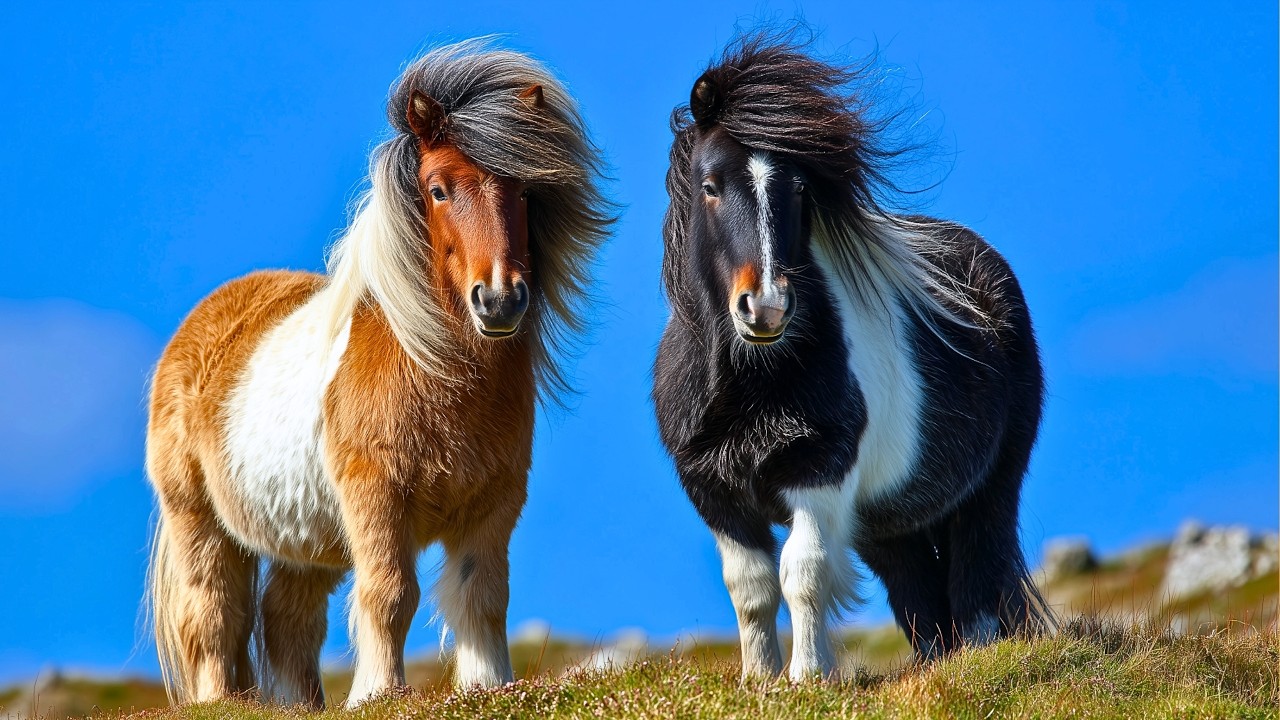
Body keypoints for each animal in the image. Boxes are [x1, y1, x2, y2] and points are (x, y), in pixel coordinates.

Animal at [145, 39, 612, 709]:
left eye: (525, 192)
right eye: (438, 189)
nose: (499, 300)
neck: (435, 372)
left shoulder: (494, 503)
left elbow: (483, 595)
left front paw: (489, 686)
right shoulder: (378, 500)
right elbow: (391, 594)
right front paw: (379, 694)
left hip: (304, 546)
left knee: (285, 621)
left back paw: (300, 706)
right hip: (200, 524)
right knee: (213, 616)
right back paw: (221, 702)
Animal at [652, 33, 1054, 682]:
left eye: (798, 188)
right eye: (709, 186)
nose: (766, 307)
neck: (749, 379)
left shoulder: (818, 471)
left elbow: (804, 573)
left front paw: (808, 678)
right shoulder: (713, 493)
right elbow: (751, 587)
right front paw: (758, 681)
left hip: (990, 489)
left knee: (975, 582)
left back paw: (972, 665)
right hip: (890, 523)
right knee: (921, 600)